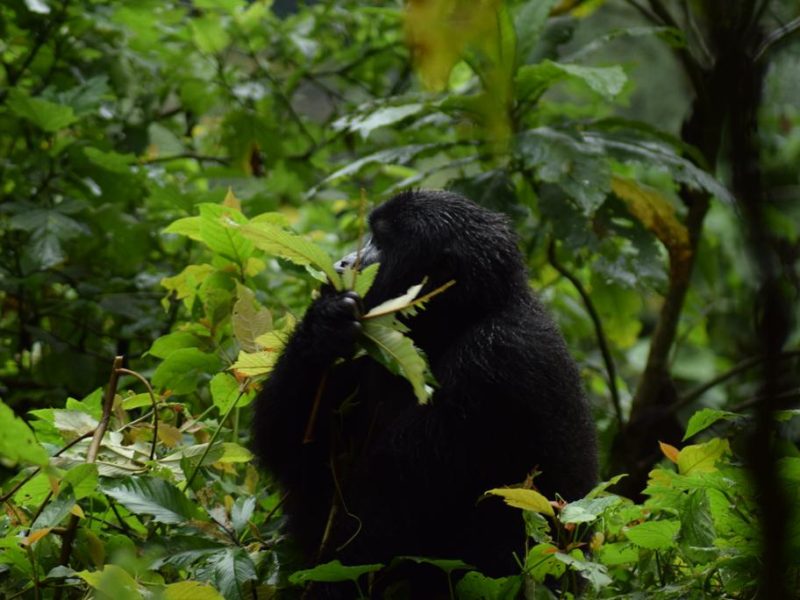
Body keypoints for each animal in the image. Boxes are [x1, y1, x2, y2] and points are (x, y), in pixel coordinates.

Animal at [253, 190, 596, 592]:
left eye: (381, 242)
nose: (344, 262)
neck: (457, 319)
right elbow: (294, 456)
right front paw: (321, 329)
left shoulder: (496, 356)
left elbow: (381, 522)